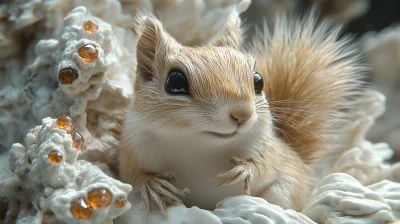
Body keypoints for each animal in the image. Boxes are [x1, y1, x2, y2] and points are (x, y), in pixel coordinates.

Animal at [116, 11, 366, 214]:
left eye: (258, 81)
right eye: (175, 82)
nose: (243, 114)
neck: (200, 147)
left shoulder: (268, 146)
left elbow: (265, 163)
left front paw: (245, 170)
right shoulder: (132, 148)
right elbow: (131, 173)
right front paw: (153, 186)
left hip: (284, 190)